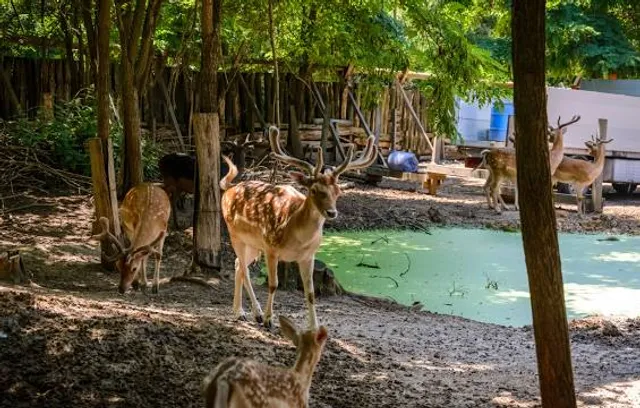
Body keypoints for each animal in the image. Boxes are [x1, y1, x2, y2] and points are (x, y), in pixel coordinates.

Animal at [220, 126, 377, 330]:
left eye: (338, 192)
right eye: (314, 190)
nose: (331, 212)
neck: (295, 234)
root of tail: (229, 188)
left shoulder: (308, 256)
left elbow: (310, 292)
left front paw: (314, 327)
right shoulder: (271, 247)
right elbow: (273, 284)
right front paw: (269, 319)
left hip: (254, 245)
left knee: (238, 264)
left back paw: (241, 312)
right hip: (235, 234)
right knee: (244, 270)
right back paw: (253, 313)